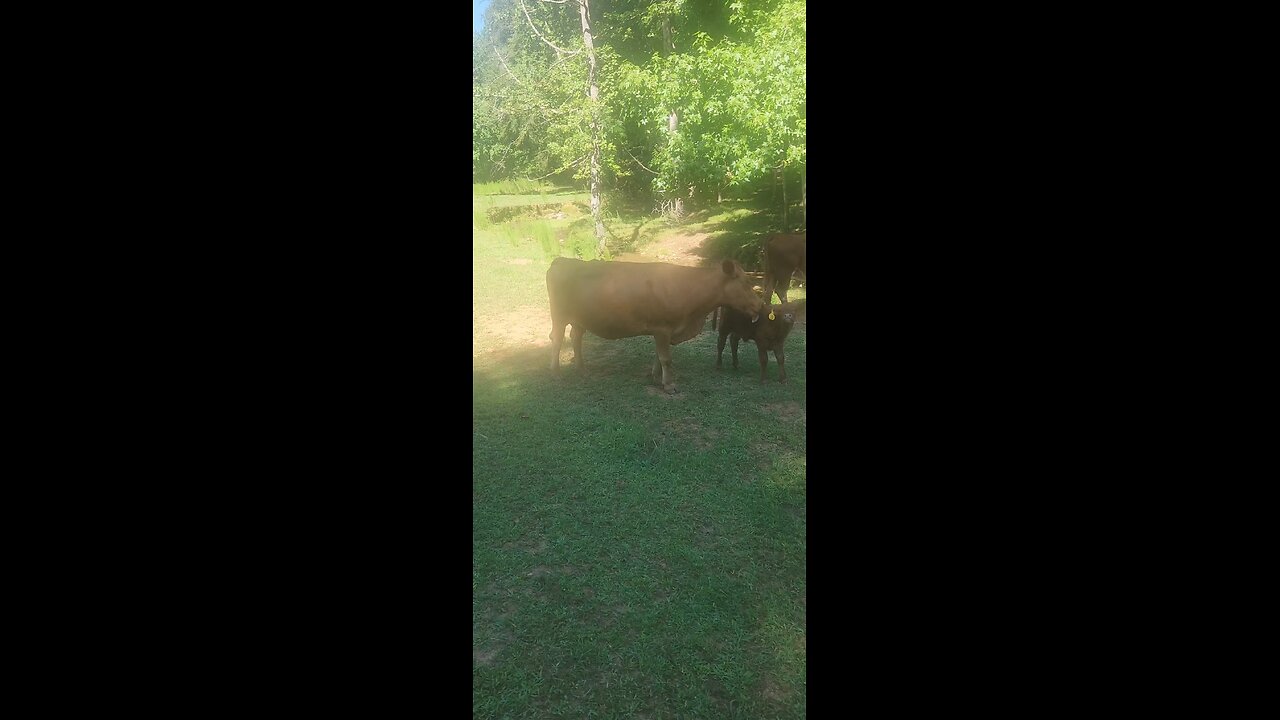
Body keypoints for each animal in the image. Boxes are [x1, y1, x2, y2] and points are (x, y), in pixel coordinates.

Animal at [547, 257, 765, 394]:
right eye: (746, 282)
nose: (761, 305)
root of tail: (562, 260)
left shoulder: (664, 330)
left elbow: (659, 356)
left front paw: (655, 377)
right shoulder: (662, 328)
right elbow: (666, 358)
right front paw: (669, 385)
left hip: (579, 319)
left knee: (575, 338)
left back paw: (582, 369)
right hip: (559, 317)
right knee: (556, 340)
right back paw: (556, 373)